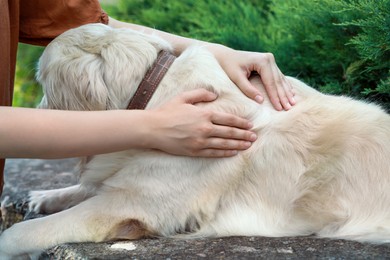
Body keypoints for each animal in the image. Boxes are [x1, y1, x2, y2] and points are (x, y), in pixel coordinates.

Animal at [0, 23, 390, 258]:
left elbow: (29, 230)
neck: (155, 94)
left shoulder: (128, 206)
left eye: (42, 82)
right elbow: (85, 188)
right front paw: (44, 196)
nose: (39, 111)